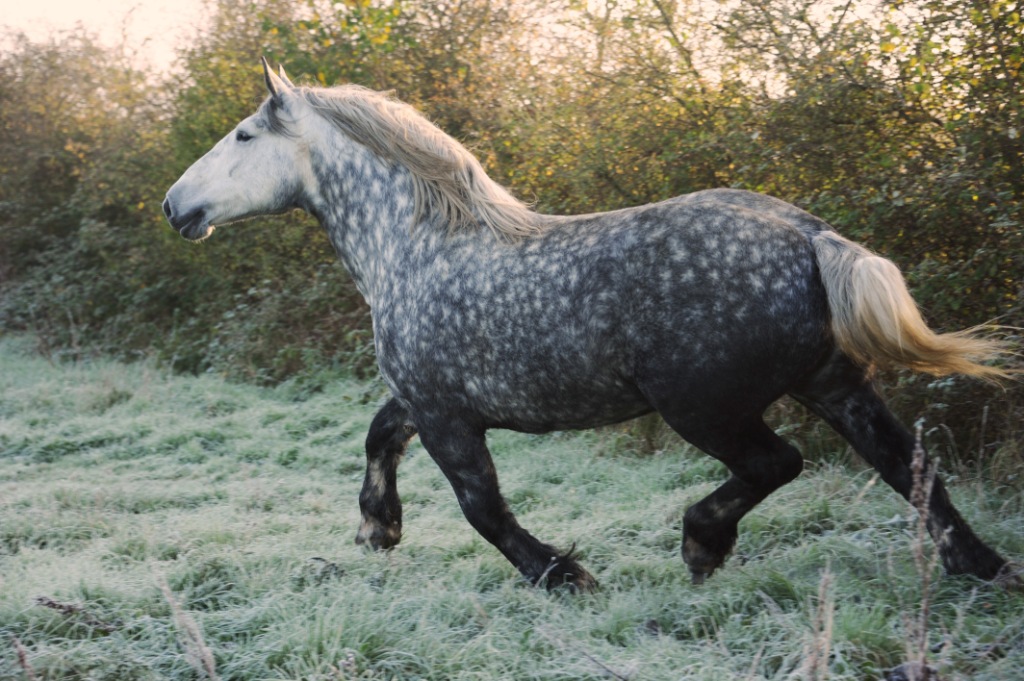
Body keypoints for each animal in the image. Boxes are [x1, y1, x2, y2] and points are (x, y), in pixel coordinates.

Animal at [163, 59, 1015, 591]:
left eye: (244, 136)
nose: (175, 205)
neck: (416, 245)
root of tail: (809, 234)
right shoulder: (425, 398)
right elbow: (379, 435)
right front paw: (379, 527)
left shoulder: (446, 414)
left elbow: (482, 505)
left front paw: (562, 573)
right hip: (833, 383)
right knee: (908, 464)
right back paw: (981, 565)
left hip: (705, 407)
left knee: (778, 463)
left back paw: (702, 543)